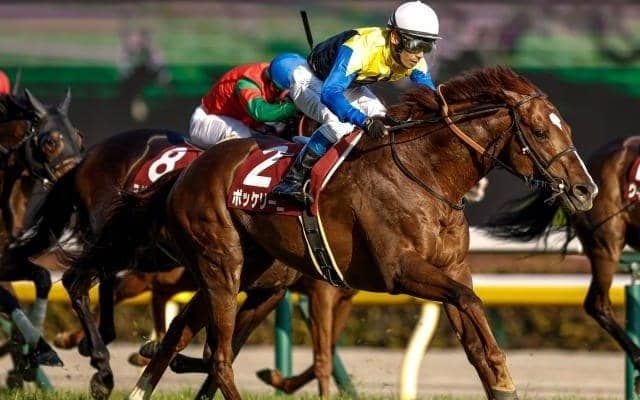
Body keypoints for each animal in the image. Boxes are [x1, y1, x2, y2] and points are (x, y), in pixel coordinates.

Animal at [66, 65, 597, 400]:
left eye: (569, 129)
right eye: (541, 132)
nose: (584, 188)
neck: (426, 174)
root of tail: (185, 173)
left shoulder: (447, 270)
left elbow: (471, 324)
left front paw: (500, 379)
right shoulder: (397, 272)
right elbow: (468, 303)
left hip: (247, 273)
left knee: (182, 336)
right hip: (220, 266)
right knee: (217, 355)